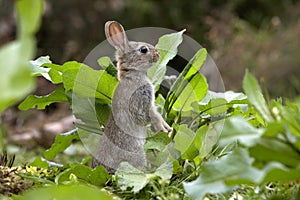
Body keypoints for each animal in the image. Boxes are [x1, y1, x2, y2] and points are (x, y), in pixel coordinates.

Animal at [92, 21, 172, 173]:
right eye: (143, 50)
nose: (158, 54)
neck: (132, 73)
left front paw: (169, 129)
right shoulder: (141, 102)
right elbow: (150, 117)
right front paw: (165, 131)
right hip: (137, 152)